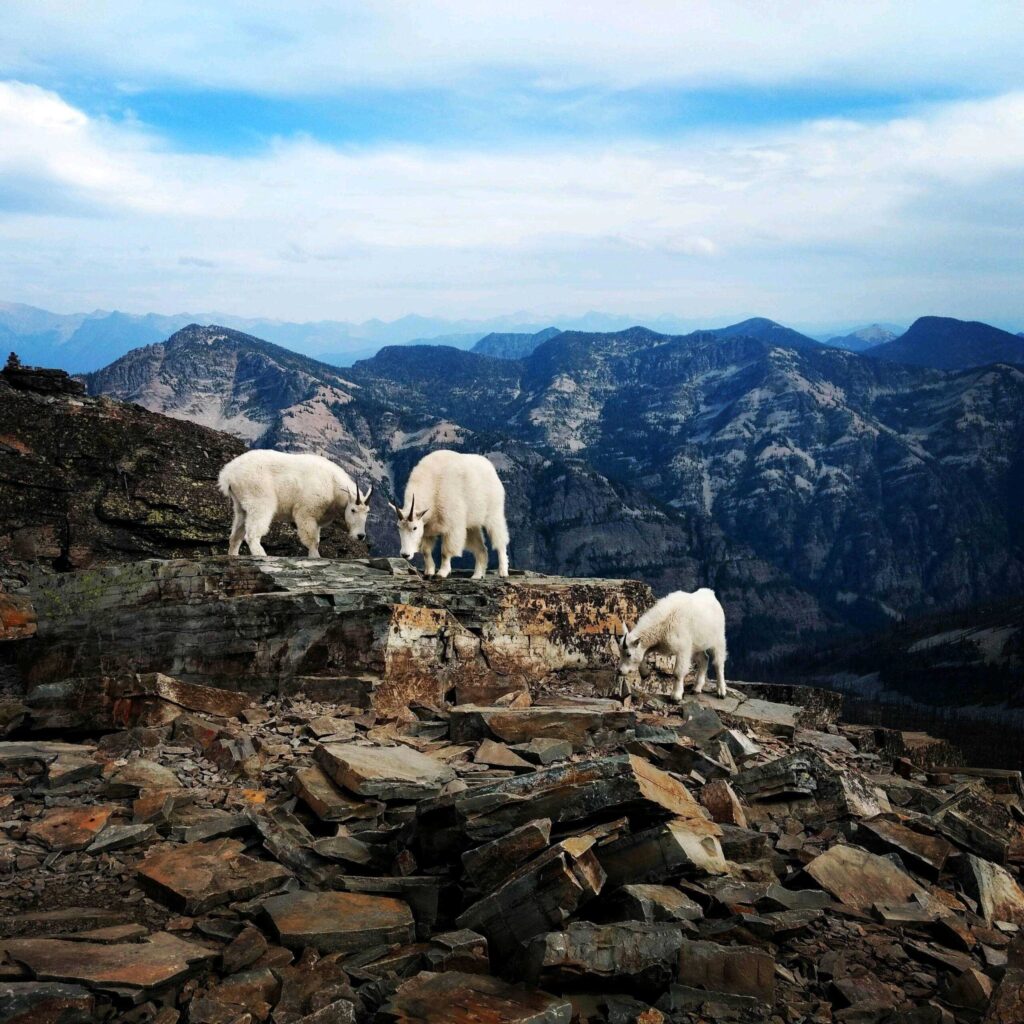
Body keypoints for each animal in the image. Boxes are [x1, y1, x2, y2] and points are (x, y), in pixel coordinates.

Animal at [219, 450, 372, 561]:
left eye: (367, 512)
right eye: (353, 510)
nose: (360, 536)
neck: (333, 486)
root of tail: (228, 474)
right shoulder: (307, 511)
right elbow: (311, 538)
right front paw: (315, 557)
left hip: (240, 503)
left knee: (237, 530)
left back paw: (233, 555)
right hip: (257, 494)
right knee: (254, 529)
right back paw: (262, 555)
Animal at [387, 448, 507, 577]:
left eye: (414, 528)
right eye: (398, 527)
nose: (405, 554)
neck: (434, 487)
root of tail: (491, 468)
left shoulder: (451, 526)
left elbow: (445, 552)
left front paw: (442, 572)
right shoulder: (427, 529)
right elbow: (426, 551)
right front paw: (429, 571)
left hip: (494, 513)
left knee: (500, 540)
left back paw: (503, 571)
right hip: (472, 525)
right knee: (481, 549)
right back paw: (477, 575)